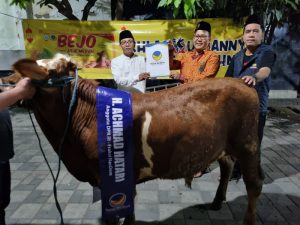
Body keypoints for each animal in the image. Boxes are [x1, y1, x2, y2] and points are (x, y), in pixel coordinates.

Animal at [4, 55, 262, 225]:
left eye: (48, 70)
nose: (9, 81)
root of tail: (240, 81)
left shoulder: (108, 179)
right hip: (223, 146)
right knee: (227, 166)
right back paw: (217, 202)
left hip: (248, 144)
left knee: (254, 184)